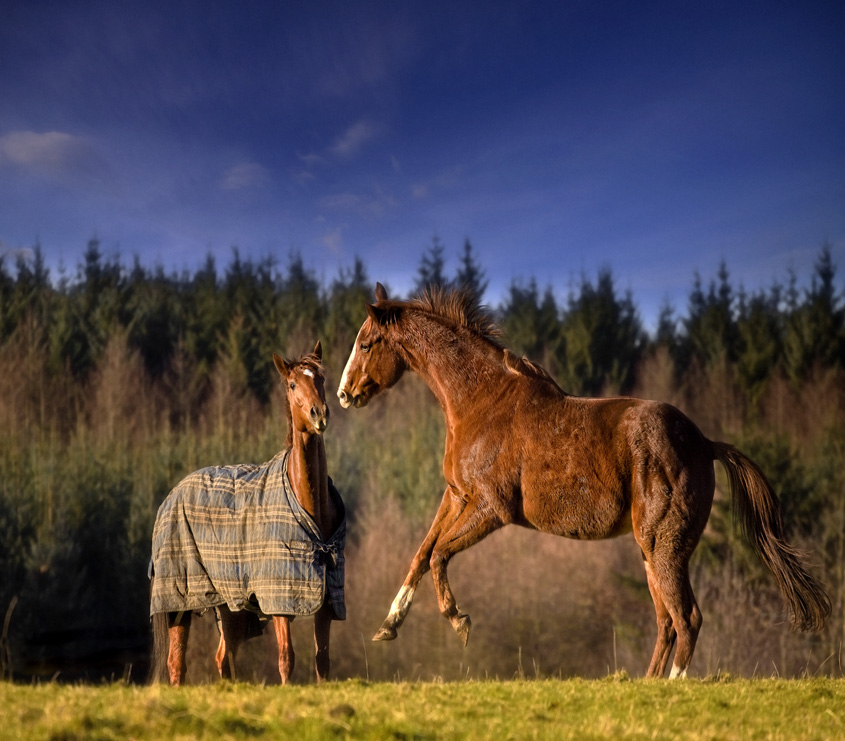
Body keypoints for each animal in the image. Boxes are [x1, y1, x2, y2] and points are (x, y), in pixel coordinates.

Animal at [149, 342, 342, 684]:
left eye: (320, 378)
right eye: (293, 385)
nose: (319, 414)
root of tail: (172, 495)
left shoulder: (325, 600)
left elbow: (323, 661)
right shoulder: (279, 600)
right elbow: (286, 658)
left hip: (229, 606)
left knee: (222, 658)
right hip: (179, 603)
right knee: (176, 663)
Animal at [334, 284, 824, 676]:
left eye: (366, 343)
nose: (343, 394)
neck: (480, 401)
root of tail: (703, 442)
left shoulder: (491, 508)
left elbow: (438, 554)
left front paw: (459, 621)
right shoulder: (457, 496)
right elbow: (421, 554)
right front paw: (388, 626)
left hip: (663, 546)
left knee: (687, 620)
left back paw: (671, 689)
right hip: (650, 552)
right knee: (667, 622)